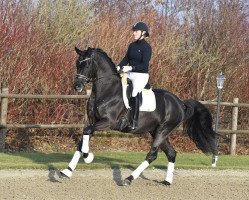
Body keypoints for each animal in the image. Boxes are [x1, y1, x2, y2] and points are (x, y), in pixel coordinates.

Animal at [60, 47, 218, 186]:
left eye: (87, 64)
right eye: (77, 63)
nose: (77, 86)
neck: (107, 91)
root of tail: (180, 102)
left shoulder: (108, 122)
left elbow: (86, 132)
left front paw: (88, 157)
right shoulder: (93, 121)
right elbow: (83, 139)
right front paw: (67, 171)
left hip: (164, 129)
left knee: (152, 154)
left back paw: (128, 179)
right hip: (156, 131)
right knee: (171, 153)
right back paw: (167, 181)